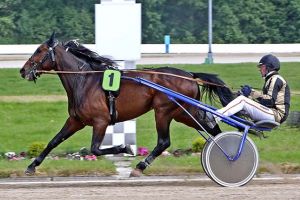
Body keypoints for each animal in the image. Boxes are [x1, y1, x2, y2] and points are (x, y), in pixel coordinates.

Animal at [19, 33, 234, 177]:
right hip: (183, 113)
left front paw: (126, 148)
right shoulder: (75, 120)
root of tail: (190, 75)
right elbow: (54, 141)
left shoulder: (100, 121)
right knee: (212, 129)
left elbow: (95, 149)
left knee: (164, 142)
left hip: (164, 111)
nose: (23, 70)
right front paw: (32, 166)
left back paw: (140, 167)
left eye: (39, 51)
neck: (84, 81)